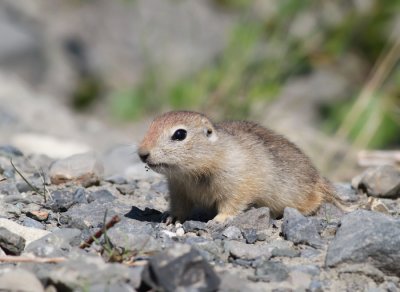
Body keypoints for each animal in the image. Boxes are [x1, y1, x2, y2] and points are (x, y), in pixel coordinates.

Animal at [138, 110, 350, 222]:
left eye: (180, 134)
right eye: (151, 125)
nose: (142, 153)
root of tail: (319, 179)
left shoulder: (239, 183)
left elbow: (232, 203)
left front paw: (218, 220)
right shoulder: (178, 188)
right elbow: (180, 206)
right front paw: (172, 218)